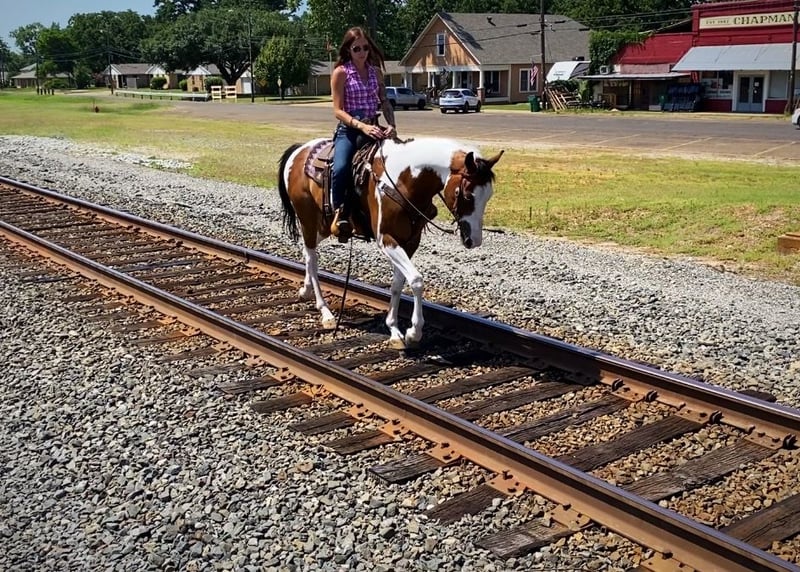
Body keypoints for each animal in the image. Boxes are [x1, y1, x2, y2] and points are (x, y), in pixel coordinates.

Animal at [277, 135, 503, 349]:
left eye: (488, 196)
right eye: (467, 195)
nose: (474, 240)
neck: (404, 180)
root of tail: (300, 149)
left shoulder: (410, 242)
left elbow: (397, 284)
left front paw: (394, 330)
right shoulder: (386, 240)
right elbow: (416, 280)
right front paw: (413, 333)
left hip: (323, 225)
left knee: (307, 254)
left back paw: (305, 290)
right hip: (307, 219)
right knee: (312, 259)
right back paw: (325, 312)